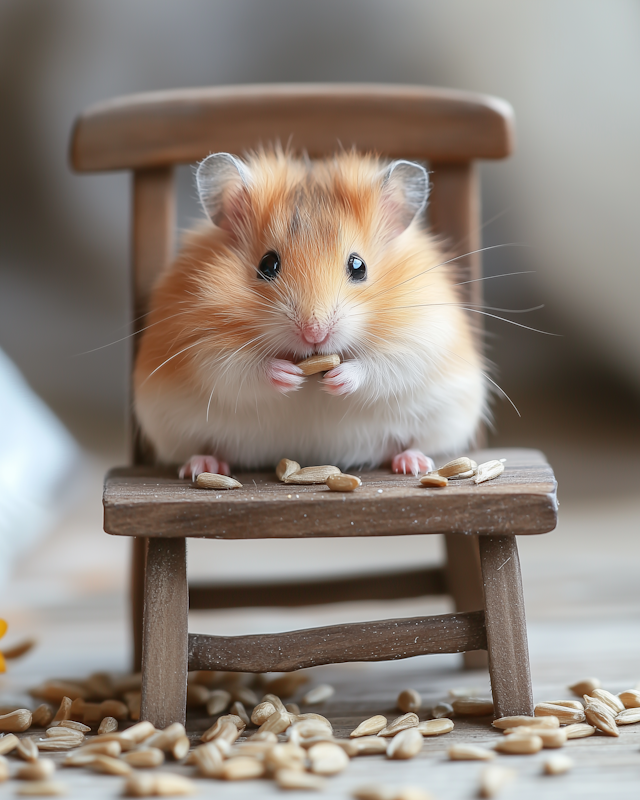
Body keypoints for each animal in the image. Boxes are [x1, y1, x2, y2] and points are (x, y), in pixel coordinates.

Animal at [134, 147, 484, 478]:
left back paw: (412, 463)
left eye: (358, 266)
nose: (314, 333)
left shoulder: (423, 334)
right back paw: (203, 466)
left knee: (410, 443)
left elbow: (384, 366)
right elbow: (238, 369)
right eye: (267, 265)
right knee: (206, 448)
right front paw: (288, 375)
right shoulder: (199, 343)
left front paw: (337, 379)